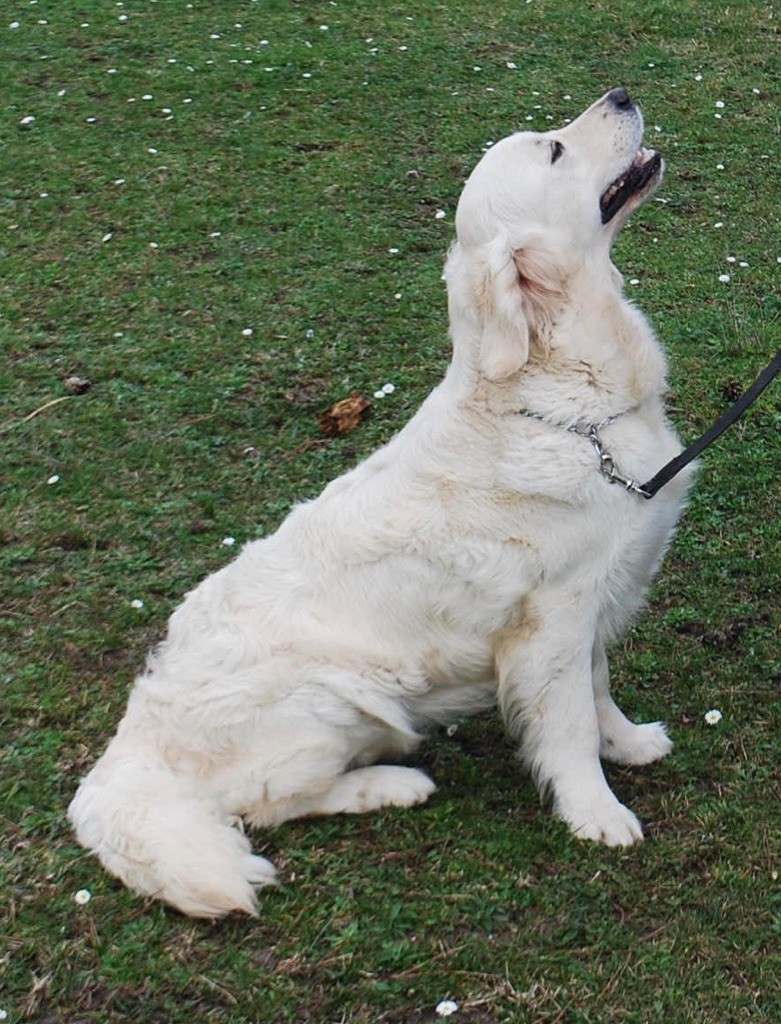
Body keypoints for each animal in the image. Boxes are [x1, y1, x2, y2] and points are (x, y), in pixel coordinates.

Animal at [67, 88, 691, 921]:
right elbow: (565, 725)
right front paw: (595, 812)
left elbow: (597, 692)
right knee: (269, 803)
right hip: (333, 700)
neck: (559, 400)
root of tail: (125, 753)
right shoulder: (550, 621)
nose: (620, 94)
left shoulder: (592, 600)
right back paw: (390, 785)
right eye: (554, 149)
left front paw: (625, 742)